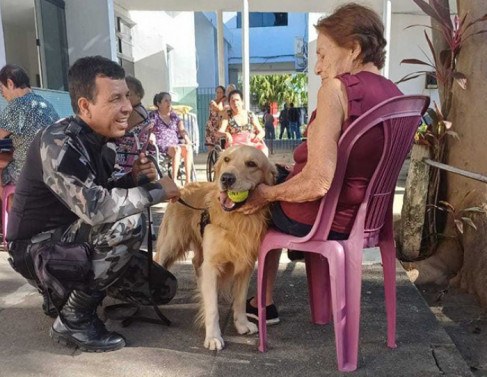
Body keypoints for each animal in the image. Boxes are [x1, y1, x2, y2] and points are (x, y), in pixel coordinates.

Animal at [156, 145, 278, 350]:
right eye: (227, 159)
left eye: (251, 164)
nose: (226, 178)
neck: (236, 219)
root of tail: (184, 187)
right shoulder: (212, 263)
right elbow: (212, 308)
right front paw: (213, 337)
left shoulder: (245, 265)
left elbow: (239, 300)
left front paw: (242, 324)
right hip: (171, 243)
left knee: (197, 263)